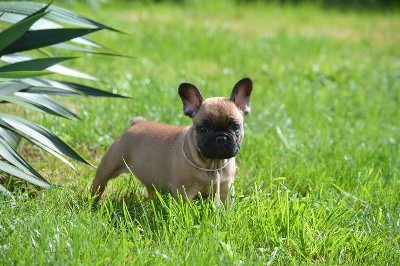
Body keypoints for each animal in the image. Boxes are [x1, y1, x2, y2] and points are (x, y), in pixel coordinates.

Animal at [92, 78, 252, 205]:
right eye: (202, 128)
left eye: (236, 127)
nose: (220, 138)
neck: (212, 165)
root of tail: (137, 123)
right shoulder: (184, 192)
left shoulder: (225, 190)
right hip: (109, 165)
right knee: (99, 184)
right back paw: (93, 203)